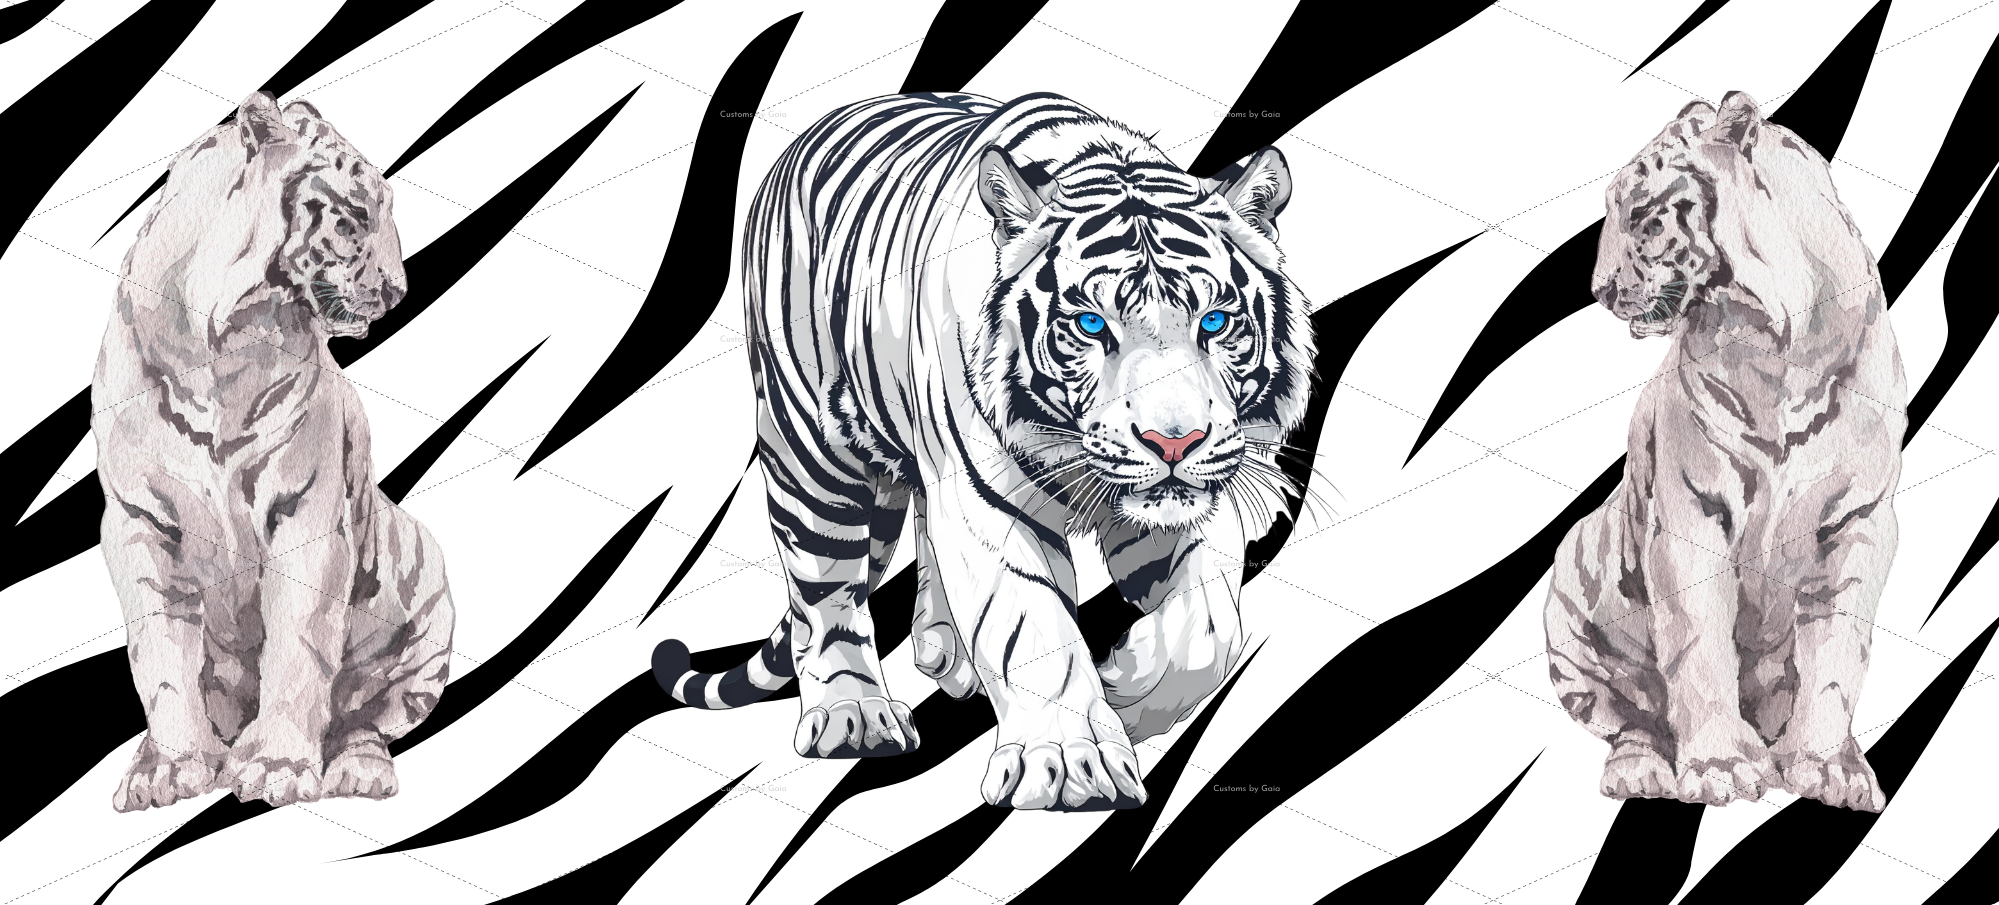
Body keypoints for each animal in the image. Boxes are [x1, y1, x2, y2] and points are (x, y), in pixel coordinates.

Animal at [92, 91, 456, 811]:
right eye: (356, 216)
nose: (398, 291)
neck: (224, 342)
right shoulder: (138, 520)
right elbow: (161, 655)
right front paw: (172, 768)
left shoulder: (307, 513)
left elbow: (299, 645)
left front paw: (278, 767)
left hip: (426, 570)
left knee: (364, 716)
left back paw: (360, 771)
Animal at [653, 92, 1324, 810]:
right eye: (1091, 325)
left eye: (1215, 321)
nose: (1174, 441)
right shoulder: (987, 497)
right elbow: (1030, 624)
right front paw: (1073, 764)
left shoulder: (1189, 497)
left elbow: (1208, 627)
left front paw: (1125, 687)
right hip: (809, 453)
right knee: (825, 594)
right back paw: (853, 716)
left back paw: (942, 649)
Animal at [1542, 90, 1906, 811]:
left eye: (1642, 215)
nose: (1599, 291)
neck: (1773, 342)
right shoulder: (1690, 512)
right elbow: (1698, 644)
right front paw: (1718, 766)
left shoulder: (1860, 520)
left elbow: (1836, 653)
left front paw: (1825, 767)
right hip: (1570, 579)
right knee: (1632, 716)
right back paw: (1638, 770)